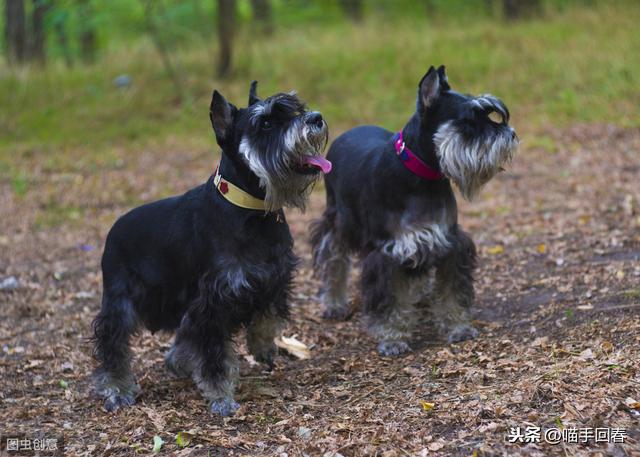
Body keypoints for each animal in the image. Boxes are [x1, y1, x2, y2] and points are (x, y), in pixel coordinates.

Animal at [91, 81, 330, 414]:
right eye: (265, 123)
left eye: (297, 109)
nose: (316, 118)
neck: (252, 211)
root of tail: (112, 231)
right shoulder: (214, 300)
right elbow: (214, 354)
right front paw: (221, 397)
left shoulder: (275, 276)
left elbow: (266, 317)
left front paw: (262, 347)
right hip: (120, 302)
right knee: (113, 344)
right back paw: (116, 389)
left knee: (184, 330)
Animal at [312, 66, 516, 354]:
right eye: (467, 121)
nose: (510, 134)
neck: (421, 176)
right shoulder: (387, 252)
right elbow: (389, 299)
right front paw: (393, 337)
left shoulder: (448, 241)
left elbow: (453, 291)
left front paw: (458, 327)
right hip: (338, 221)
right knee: (333, 259)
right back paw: (333, 303)